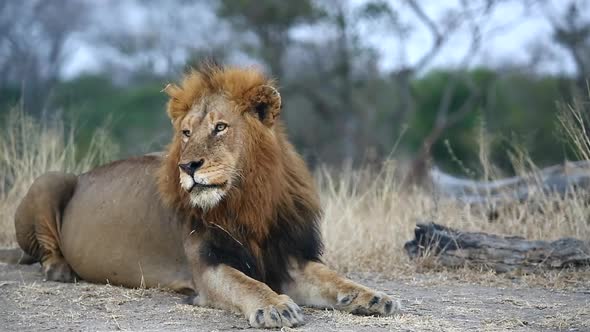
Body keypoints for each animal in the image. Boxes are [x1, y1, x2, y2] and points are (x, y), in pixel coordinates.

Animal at [11, 63, 402, 328]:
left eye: (220, 127)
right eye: (185, 133)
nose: (188, 166)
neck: (248, 202)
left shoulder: (287, 255)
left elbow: (333, 277)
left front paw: (375, 297)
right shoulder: (207, 266)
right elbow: (247, 285)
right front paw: (275, 306)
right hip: (50, 178)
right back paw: (60, 269)